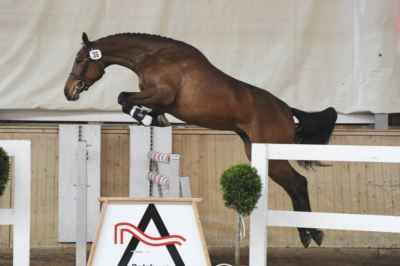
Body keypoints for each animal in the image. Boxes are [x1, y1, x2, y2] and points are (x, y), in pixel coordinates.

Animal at [63, 32, 338, 248]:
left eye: (80, 60)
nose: (68, 92)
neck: (153, 56)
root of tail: (287, 110)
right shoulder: (159, 98)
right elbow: (130, 101)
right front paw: (155, 119)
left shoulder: (161, 93)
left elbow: (123, 97)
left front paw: (147, 119)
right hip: (257, 152)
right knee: (293, 186)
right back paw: (307, 234)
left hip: (272, 156)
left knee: (299, 183)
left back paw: (314, 233)